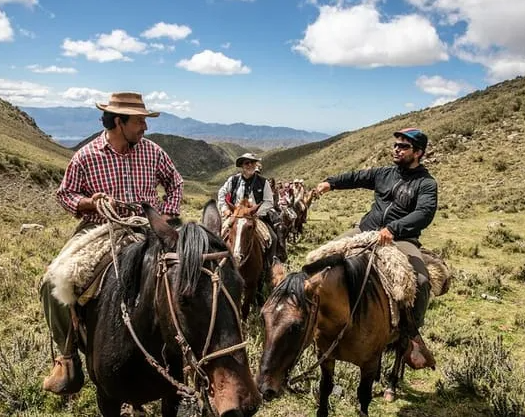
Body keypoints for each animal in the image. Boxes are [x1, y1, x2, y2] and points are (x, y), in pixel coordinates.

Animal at [256, 252, 408, 414]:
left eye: (297, 326)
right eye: (263, 317)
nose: (264, 387)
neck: (348, 320)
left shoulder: (368, 365)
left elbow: (364, 396)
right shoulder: (326, 358)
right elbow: (325, 388)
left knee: (400, 351)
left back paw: (391, 388)